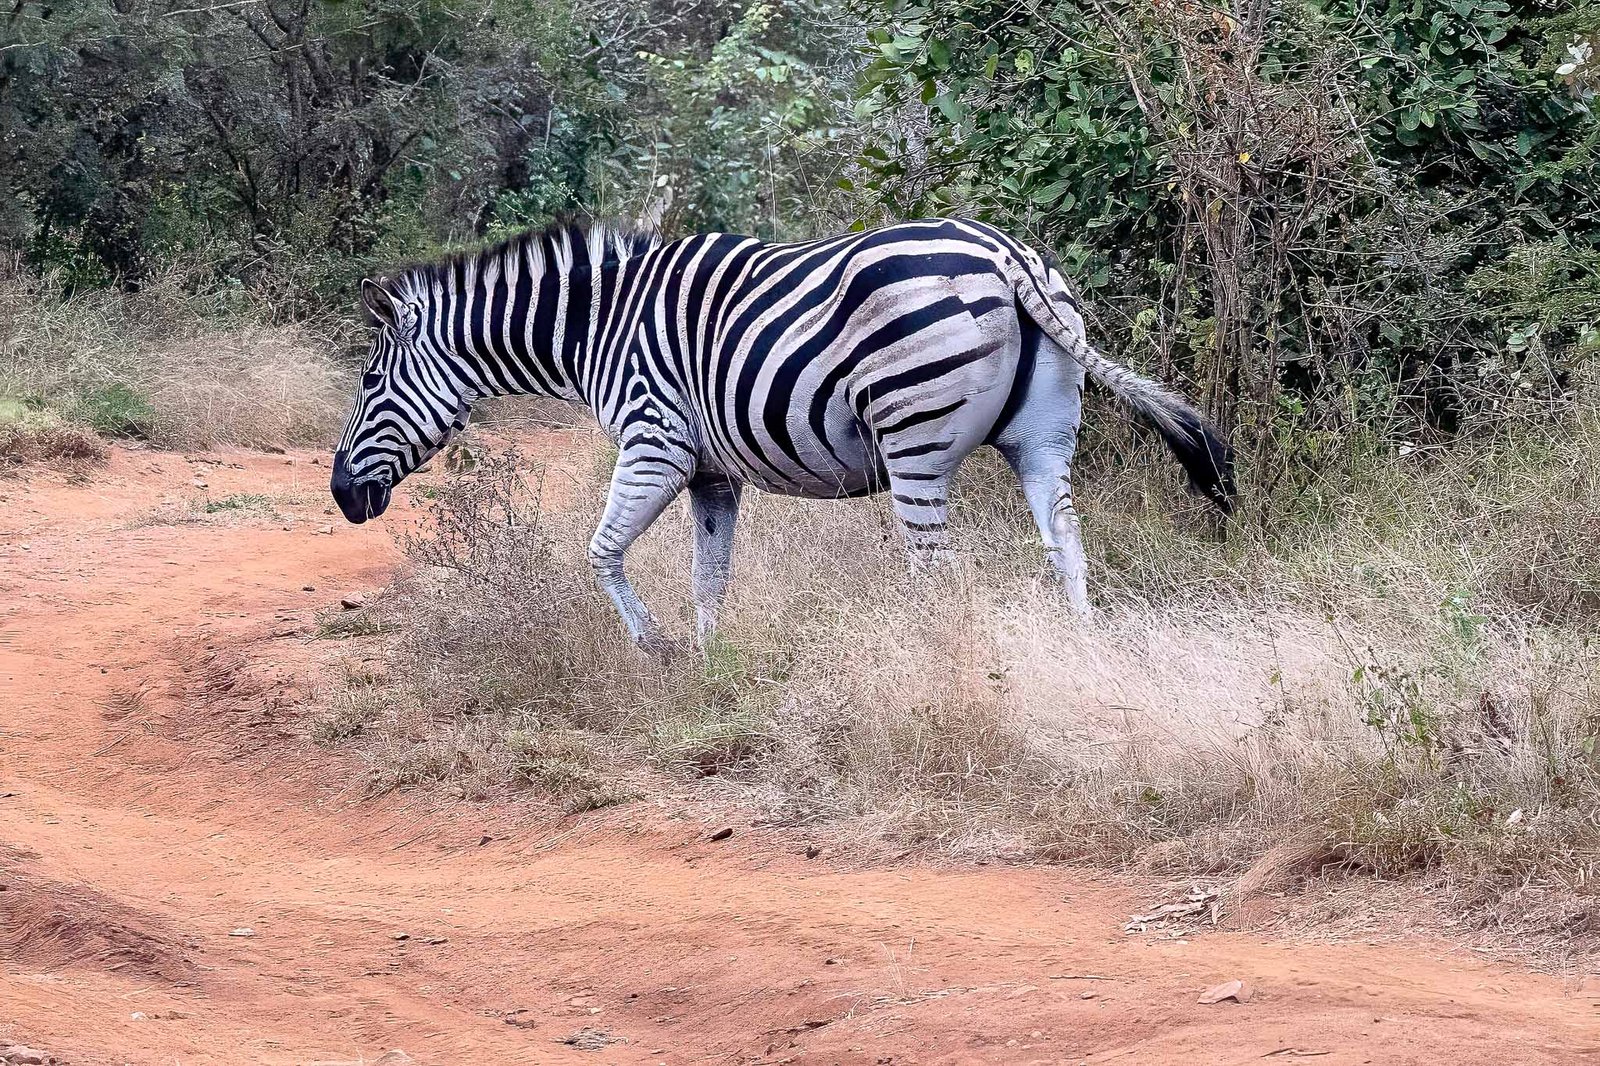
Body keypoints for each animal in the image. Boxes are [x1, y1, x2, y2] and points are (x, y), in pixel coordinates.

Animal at [331, 217, 1233, 650]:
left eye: (370, 383)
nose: (341, 497)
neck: (597, 326)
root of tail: (1005, 252)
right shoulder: (710, 471)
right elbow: (709, 576)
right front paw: (709, 668)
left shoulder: (655, 441)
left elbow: (601, 552)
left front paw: (656, 651)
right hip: (1043, 438)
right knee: (1066, 545)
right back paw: (1083, 650)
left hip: (913, 440)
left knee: (937, 571)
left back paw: (930, 671)